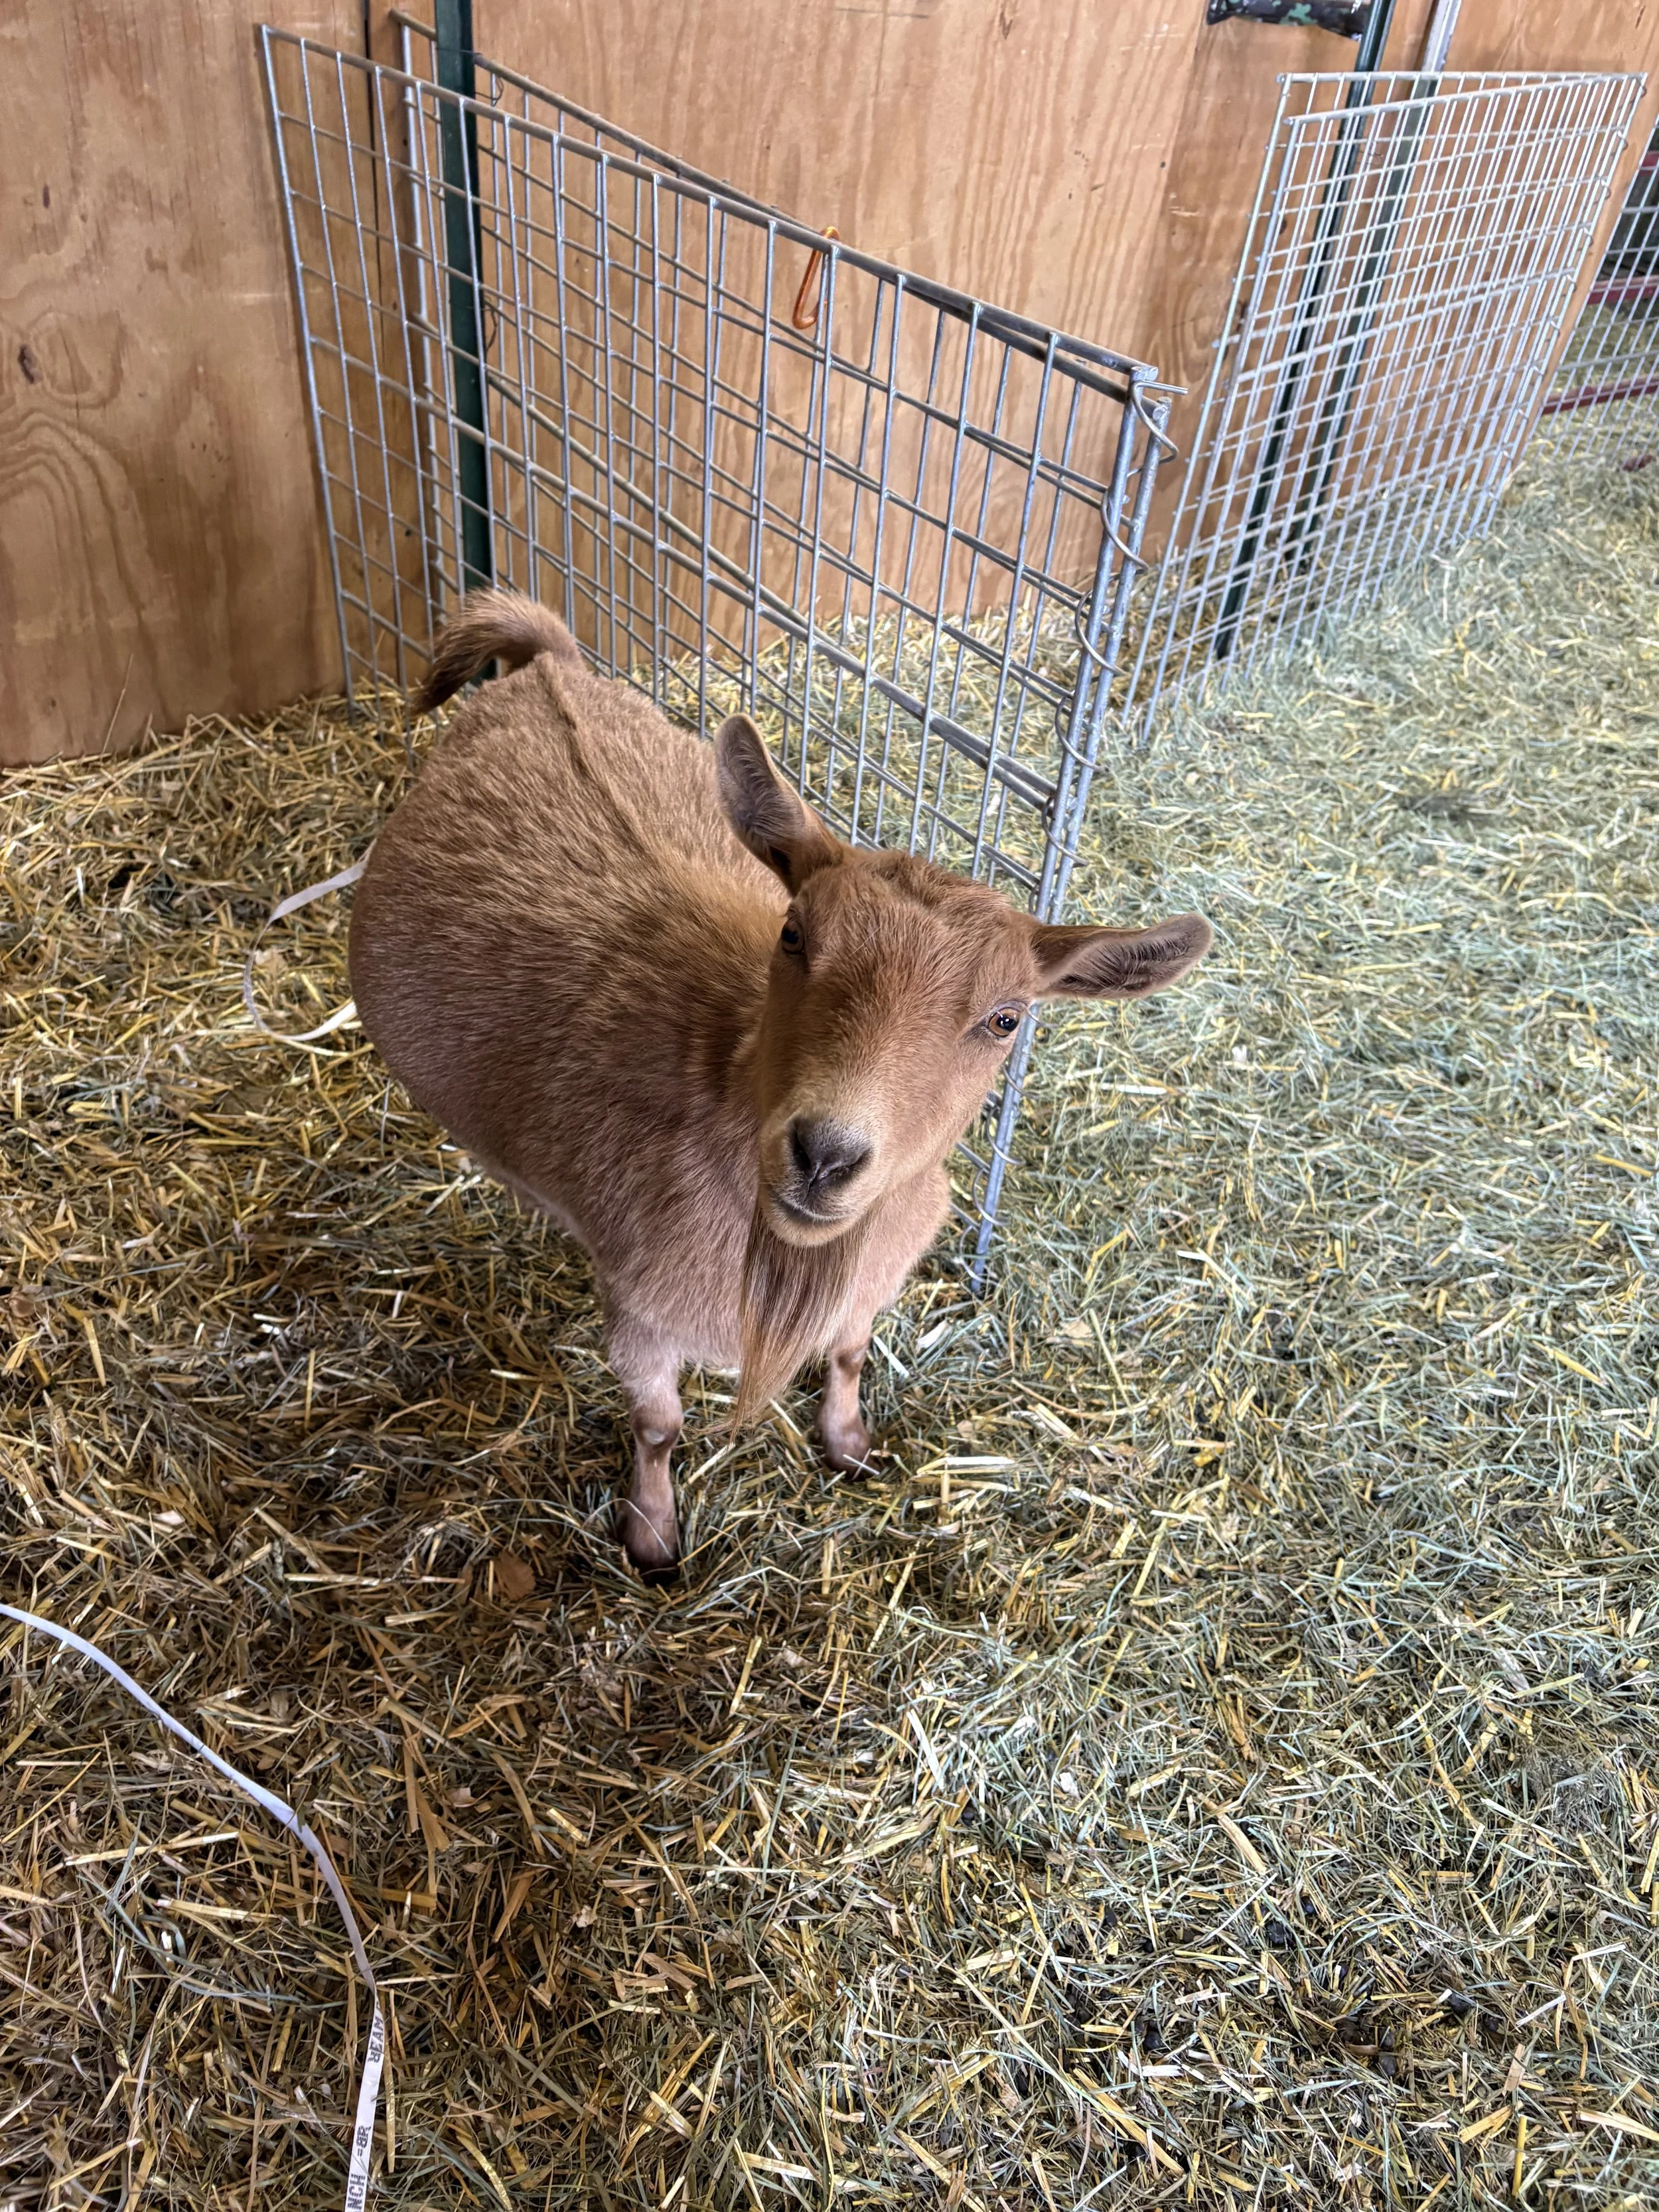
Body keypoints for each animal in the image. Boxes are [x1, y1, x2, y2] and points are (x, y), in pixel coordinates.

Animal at [348, 589, 1211, 1573]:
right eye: (794, 933)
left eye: (1006, 1018)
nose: (825, 1155)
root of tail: (552, 666)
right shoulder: (642, 1314)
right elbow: (658, 1426)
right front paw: (653, 1538)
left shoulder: (869, 1286)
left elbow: (849, 1357)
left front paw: (849, 1445)